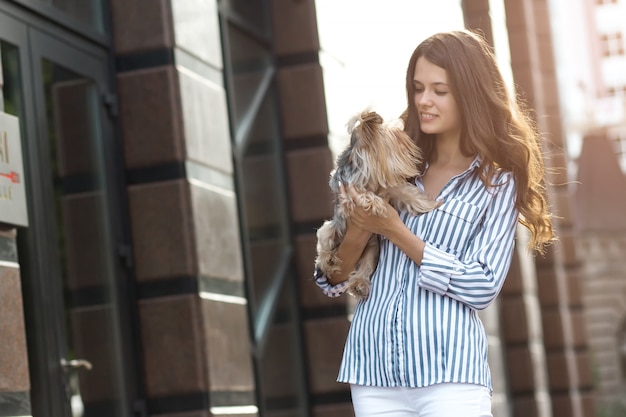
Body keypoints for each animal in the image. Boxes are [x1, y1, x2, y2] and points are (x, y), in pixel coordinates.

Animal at [314, 110, 436, 300]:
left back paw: (359, 284)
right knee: (324, 249)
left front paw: (429, 204)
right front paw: (376, 203)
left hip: (372, 248)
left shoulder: (390, 189)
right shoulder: (345, 192)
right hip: (328, 230)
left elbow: (406, 192)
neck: (368, 176)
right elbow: (363, 195)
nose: (406, 137)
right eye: (395, 136)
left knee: (365, 267)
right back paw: (329, 260)